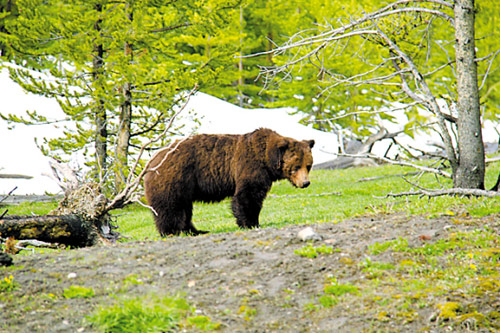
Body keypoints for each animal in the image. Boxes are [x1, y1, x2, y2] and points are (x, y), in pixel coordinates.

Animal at [144, 127, 312, 236]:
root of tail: (152, 159)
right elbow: (248, 196)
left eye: (308, 165)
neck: (267, 159)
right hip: (174, 177)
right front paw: (251, 223)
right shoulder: (249, 165)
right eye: (296, 166)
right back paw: (172, 231)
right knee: (171, 206)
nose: (305, 183)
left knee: (185, 209)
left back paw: (196, 230)